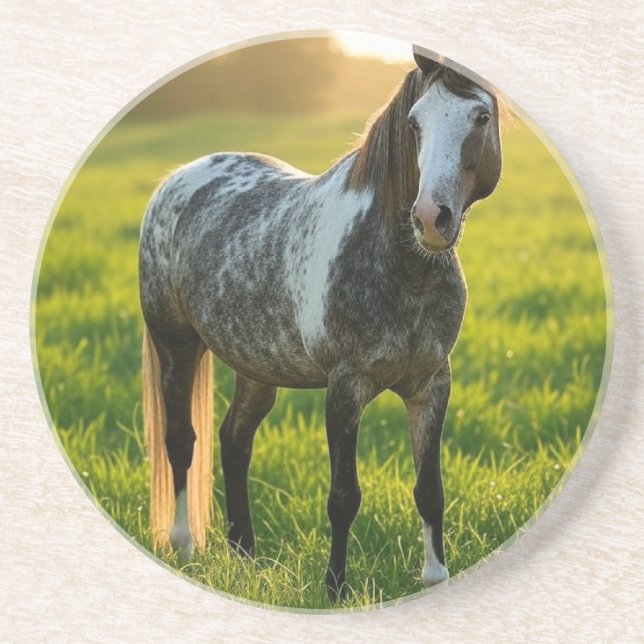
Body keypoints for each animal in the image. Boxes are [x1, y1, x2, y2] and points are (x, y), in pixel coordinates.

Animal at [139, 49, 502, 601]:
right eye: (415, 123)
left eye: (481, 116)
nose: (430, 218)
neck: (403, 268)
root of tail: (174, 180)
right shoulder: (345, 386)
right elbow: (343, 496)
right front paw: (335, 590)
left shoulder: (432, 384)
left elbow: (430, 489)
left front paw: (435, 577)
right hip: (176, 346)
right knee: (182, 441)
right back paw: (184, 548)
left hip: (255, 367)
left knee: (234, 439)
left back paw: (245, 553)